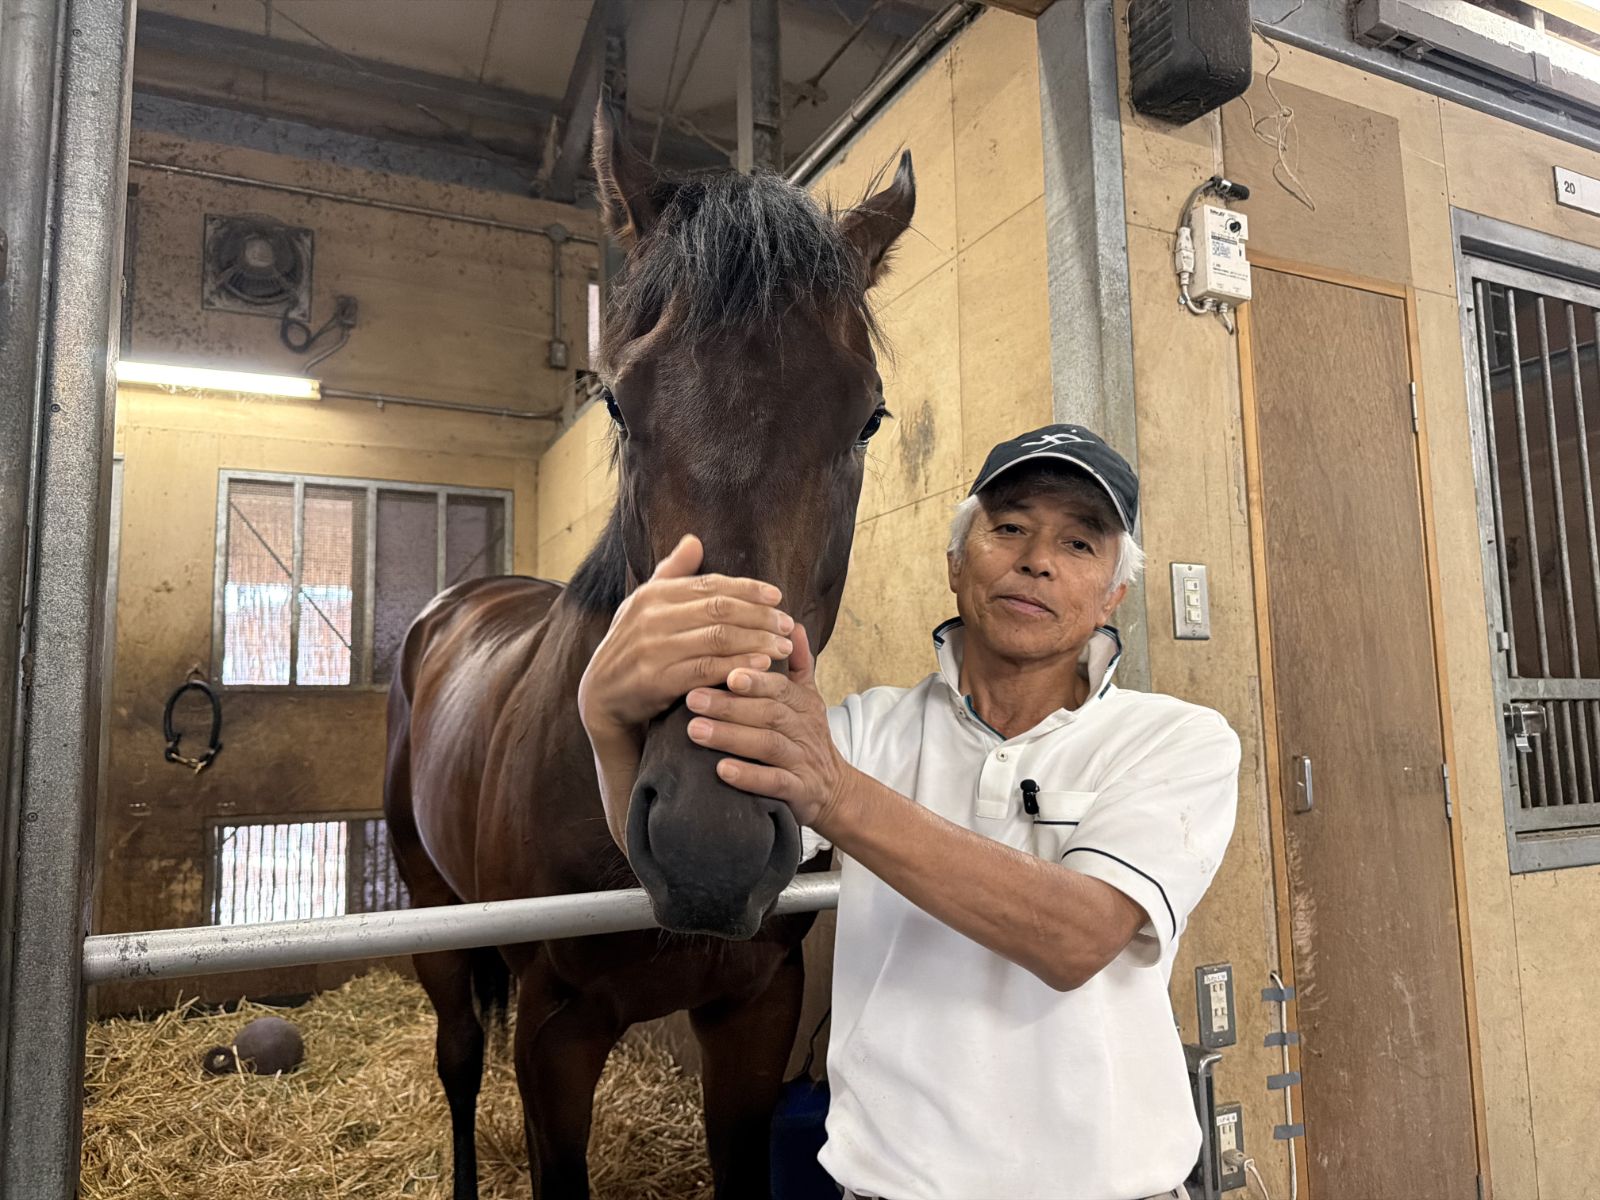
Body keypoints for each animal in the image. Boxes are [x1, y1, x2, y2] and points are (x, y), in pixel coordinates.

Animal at [384, 104, 915, 1200]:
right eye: (621, 405)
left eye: (868, 419)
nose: (710, 844)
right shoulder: (553, 1034)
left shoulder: (757, 1008)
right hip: (430, 908)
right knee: (458, 1060)